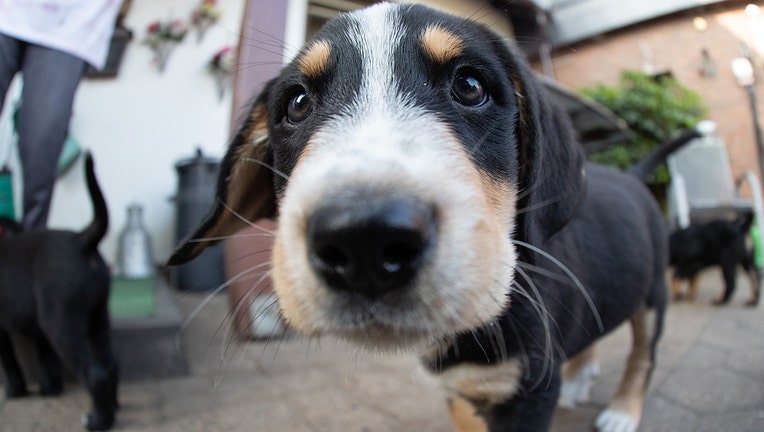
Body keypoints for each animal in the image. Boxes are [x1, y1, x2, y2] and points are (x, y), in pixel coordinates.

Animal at [0, 154, 118, 430]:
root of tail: (82, 240)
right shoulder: (38, 326)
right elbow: (46, 359)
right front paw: (50, 389)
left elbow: (9, 361)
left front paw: (15, 390)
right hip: (97, 316)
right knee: (110, 365)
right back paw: (113, 407)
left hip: (61, 323)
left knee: (95, 374)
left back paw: (98, 420)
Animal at [170, 4, 664, 432]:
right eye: (297, 103)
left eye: (470, 86)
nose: (364, 240)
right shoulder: (461, 392)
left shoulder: (529, 388)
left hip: (653, 294)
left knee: (643, 356)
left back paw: (623, 411)